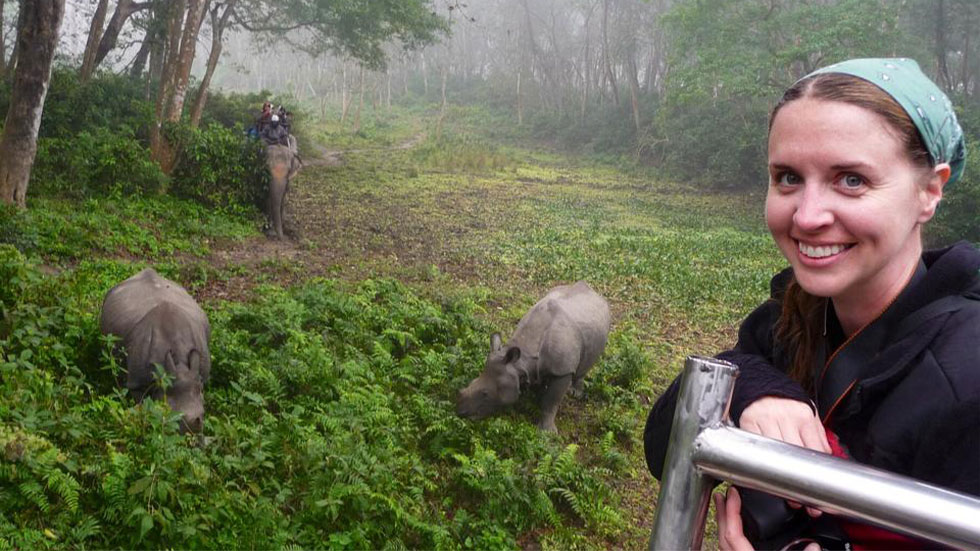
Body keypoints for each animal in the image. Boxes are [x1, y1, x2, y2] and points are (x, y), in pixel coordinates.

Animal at [456, 282, 608, 434]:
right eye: (472, 382)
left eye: (485, 393)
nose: (460, 412)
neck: (521, 360)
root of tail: (591, 290)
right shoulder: (532, 367)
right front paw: (537, 400)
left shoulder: (563, 370)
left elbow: (551, 401)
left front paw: (547, 432)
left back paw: (575, 393)